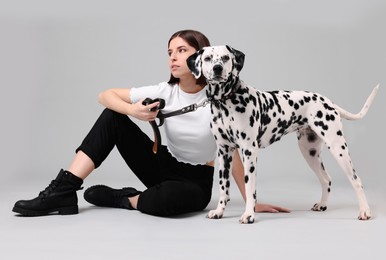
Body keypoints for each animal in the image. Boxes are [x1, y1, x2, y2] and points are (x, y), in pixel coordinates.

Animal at [187, 44, 380, 223]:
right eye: (208, 58)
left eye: (226, 57)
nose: (217, 68)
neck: (226, 102)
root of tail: (327, 102)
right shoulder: (224, 151)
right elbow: (223, 187)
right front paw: (219, 211)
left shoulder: (249, 151)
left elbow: (250, 188)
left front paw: (249, 214)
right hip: (310, 152)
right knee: (326, 179)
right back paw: (322, 204)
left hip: (338, 147)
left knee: (356, 180)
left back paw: (365, 211)